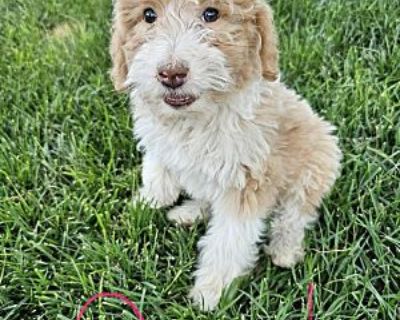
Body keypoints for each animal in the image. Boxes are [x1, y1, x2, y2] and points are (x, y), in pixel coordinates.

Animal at [111, 0, 342, 312]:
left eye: (211, 14)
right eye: (149, 15)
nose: (171, 74)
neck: (195, 118)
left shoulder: (246, 182)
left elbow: (228, 242)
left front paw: (211, 291)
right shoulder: (159, 143)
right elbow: (158, 175)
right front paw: (145, 203)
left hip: (317, 162)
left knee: (294, 214)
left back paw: (284, 249)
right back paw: (188, 213)